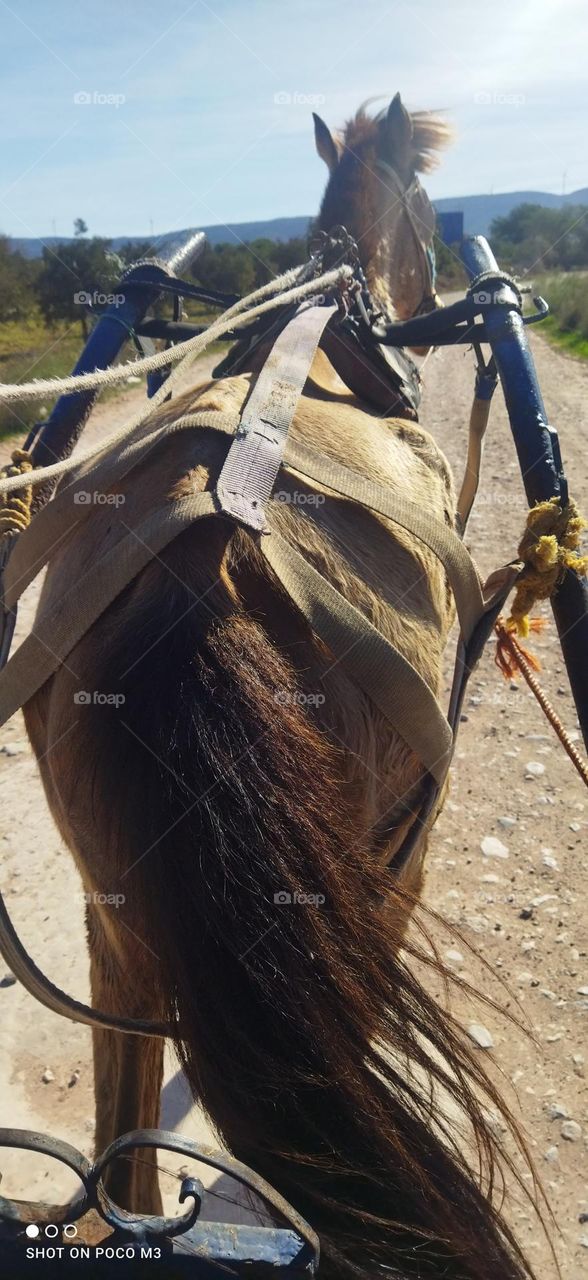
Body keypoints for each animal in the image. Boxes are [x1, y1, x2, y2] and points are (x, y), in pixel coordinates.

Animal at [21, 94, 538, 1274]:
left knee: (127, 1144)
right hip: (386, 852)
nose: (432, 287)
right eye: (428, 204)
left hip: (114, 908)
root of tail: (203, 570)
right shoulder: (395, 866)